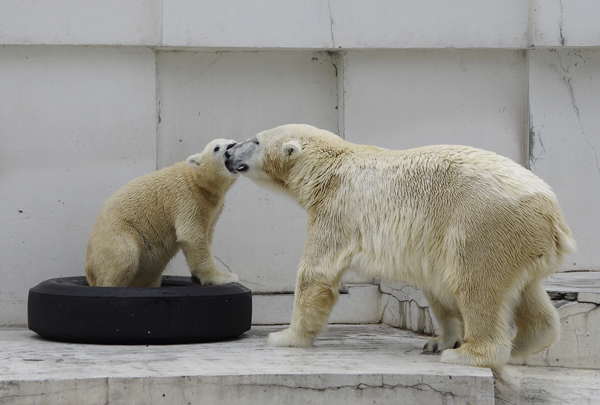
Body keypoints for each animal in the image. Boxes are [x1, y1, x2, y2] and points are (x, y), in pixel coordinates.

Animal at [85, 138, 240, 288]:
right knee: (123, 258)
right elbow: (192, 236)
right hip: (118, 234)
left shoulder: (213, 208)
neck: (198, 180)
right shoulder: (188, 199)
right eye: (216, 148)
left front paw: (197, 277)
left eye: (233, 141)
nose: (232, 145)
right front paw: (226, 277)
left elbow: (206, 234)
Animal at [225, 124, 576, 370]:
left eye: (255, 140)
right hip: (520, 240)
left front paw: (285, 337)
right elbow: (435, 289)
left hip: (484, 225)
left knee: (478, 284)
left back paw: (471, 354)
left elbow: (317, 272)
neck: (329, 167)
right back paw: (523, 343)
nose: (228, 151)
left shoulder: (338, 208)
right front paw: (439, 341)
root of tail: (551, 210)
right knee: (524, 290)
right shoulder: (429, 240)